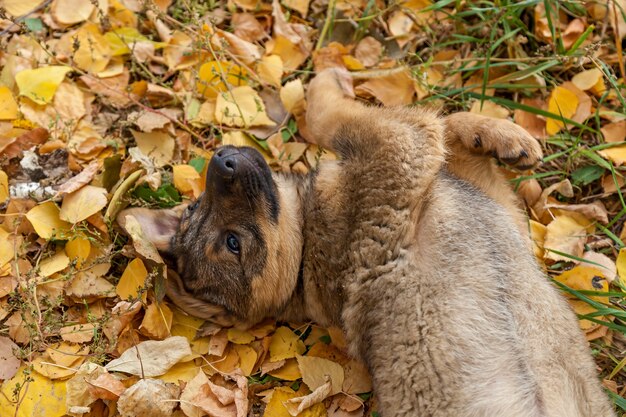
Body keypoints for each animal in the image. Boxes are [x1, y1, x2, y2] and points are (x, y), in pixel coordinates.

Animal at [123, 70, 616, 416]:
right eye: (233, 244)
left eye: (195, 206)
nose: (222, 159)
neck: (305, 256)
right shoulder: (397, 147)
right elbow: (332, 116)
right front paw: (327, 79)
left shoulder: (495, 205)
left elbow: (453, 125)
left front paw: (500, 135)